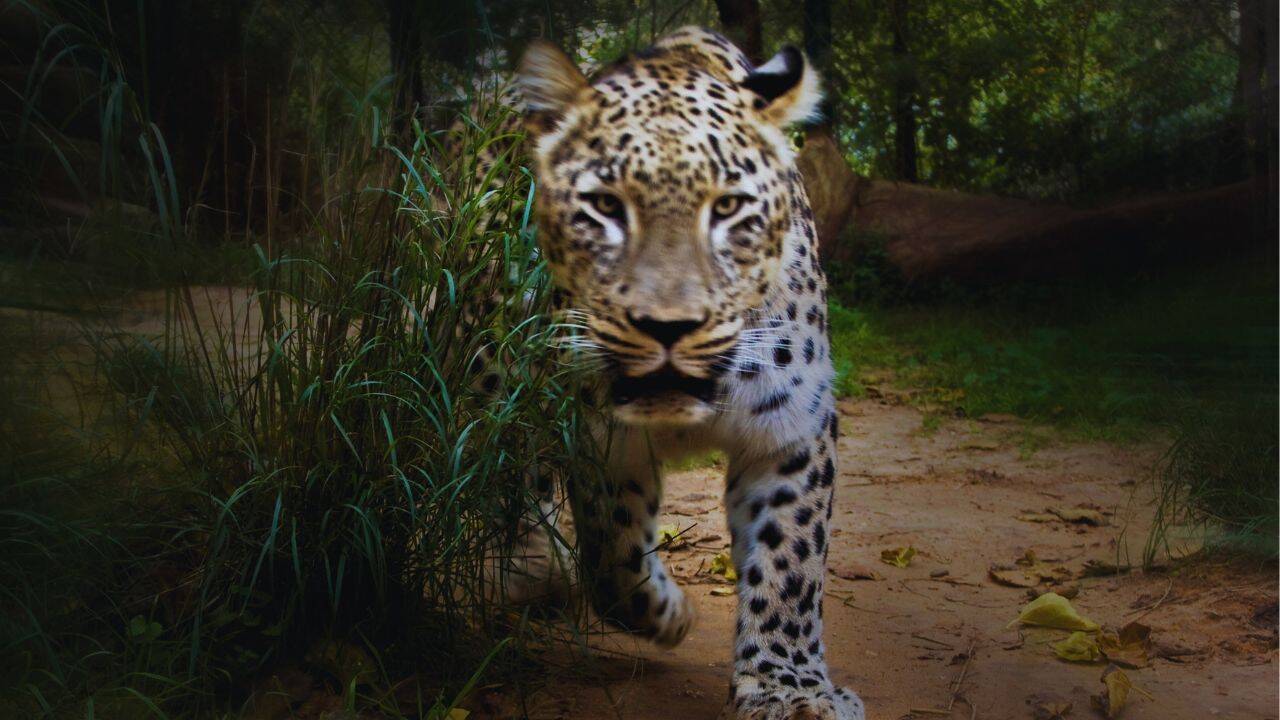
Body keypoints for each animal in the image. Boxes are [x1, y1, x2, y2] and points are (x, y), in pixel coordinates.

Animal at [491, 26, 864, 720]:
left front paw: (789, 687)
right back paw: (531, 564)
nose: (668, 326)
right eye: (604, 206)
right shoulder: (597, 433)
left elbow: (790, 561)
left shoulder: (792, 427)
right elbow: (612, 547)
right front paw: (667, 613)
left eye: (730, 208)